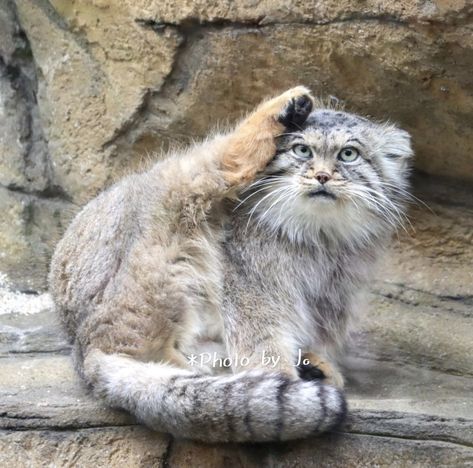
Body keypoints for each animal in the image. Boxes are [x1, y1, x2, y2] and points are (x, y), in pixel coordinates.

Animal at [48, 87, 410, 442]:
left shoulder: (333, 292)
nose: (322, 176)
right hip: (162, 213)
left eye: (348, 154)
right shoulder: (251, 284)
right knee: (215, 161)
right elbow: (260, 340)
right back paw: (284, 106)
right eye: (302, 150)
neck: (318, 235)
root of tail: (82, 346)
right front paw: (279, 375)